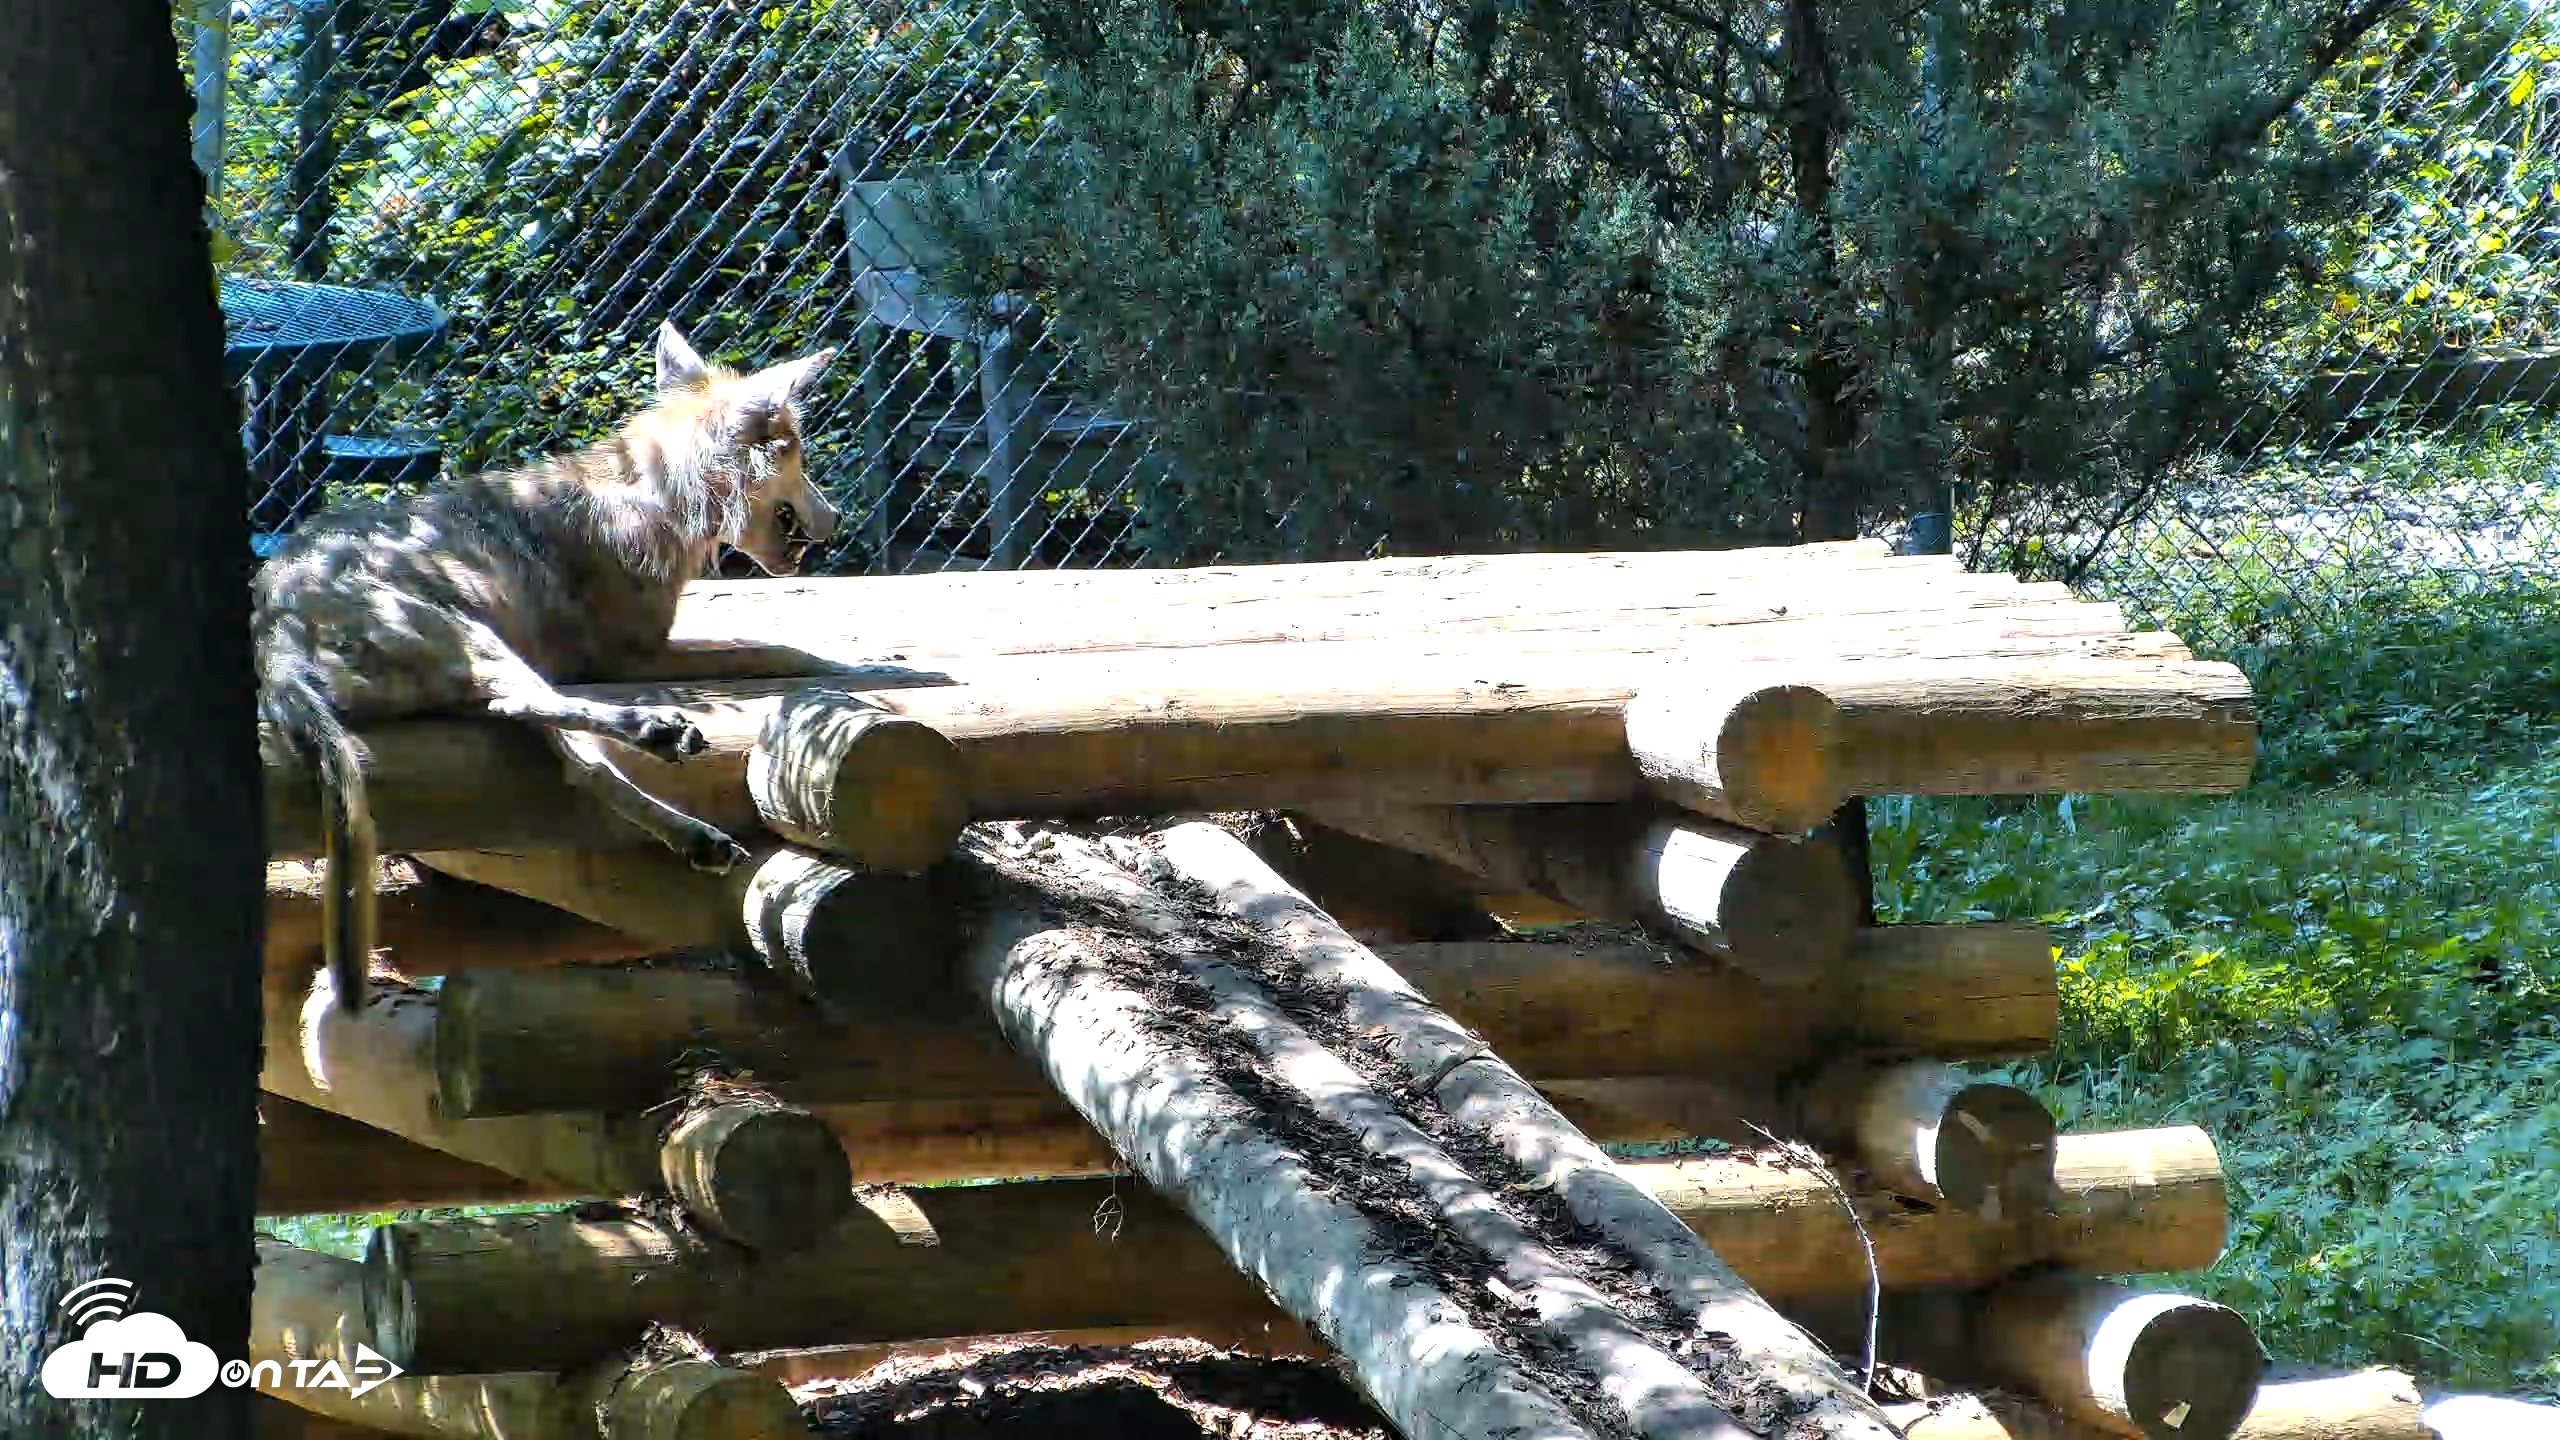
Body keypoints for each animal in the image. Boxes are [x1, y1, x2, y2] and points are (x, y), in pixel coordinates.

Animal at [255, 322, 839, 1013]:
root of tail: (275, 637)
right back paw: (656, 732)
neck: (661, 493)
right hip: (477, 636)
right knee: (540, 714)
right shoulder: (634, 655)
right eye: (800, 454)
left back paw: (694, 833)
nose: (836, 520)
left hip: (496, 664)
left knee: (578, 764)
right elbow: (782, 650)